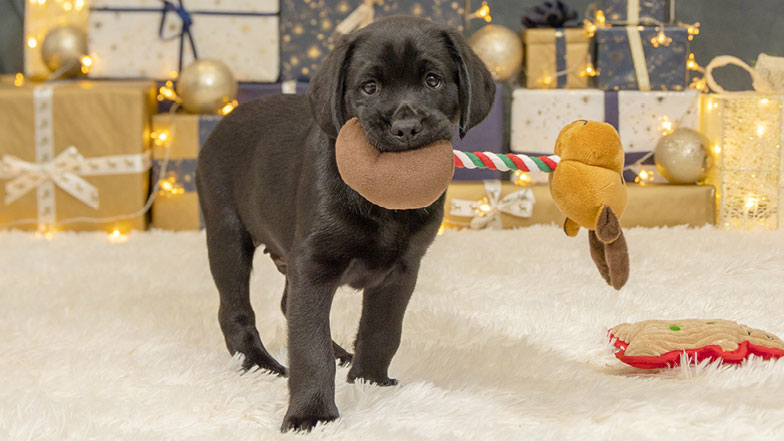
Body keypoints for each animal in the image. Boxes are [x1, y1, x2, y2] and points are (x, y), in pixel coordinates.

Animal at [195, 16, 494, 430]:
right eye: (369, 87)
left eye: (433, 81)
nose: (405, 126)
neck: (383, 203)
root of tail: (225, 118)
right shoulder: (313, 264)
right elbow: (309, 347)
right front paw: (311, 413)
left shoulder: (402, 271)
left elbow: (382, 329)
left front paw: (370, 381)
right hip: (227, 235)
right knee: (236, 312)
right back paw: (260, 364)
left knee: (287, 304)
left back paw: (340, 354)